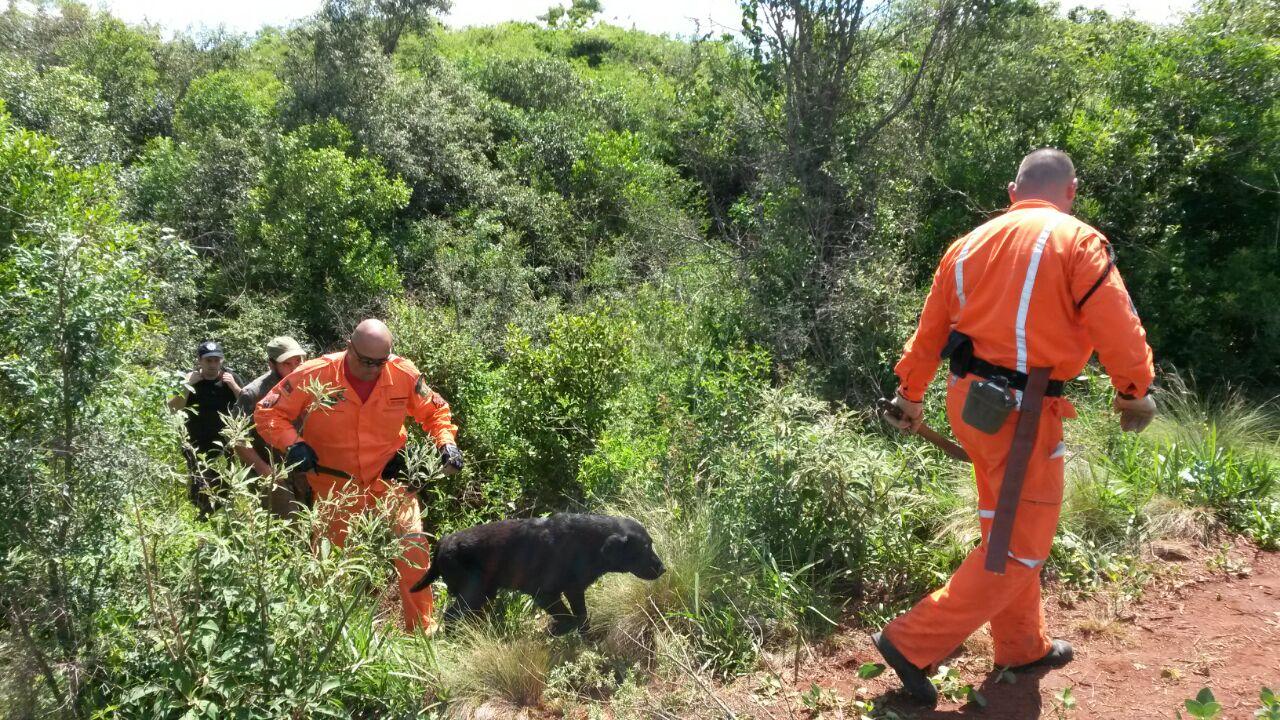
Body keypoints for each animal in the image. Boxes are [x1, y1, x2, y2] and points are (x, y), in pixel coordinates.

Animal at [412, 509, 670, 632]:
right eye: (644, 548)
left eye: (651, 544)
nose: (663, 568)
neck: (587, 543)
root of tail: (442, 543)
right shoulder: (545, 593)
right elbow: (568, 618)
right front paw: (556, 631)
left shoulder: (574, 590)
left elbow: (581, 617)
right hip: (473, 593)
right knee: (451, 617)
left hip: (483, 593)